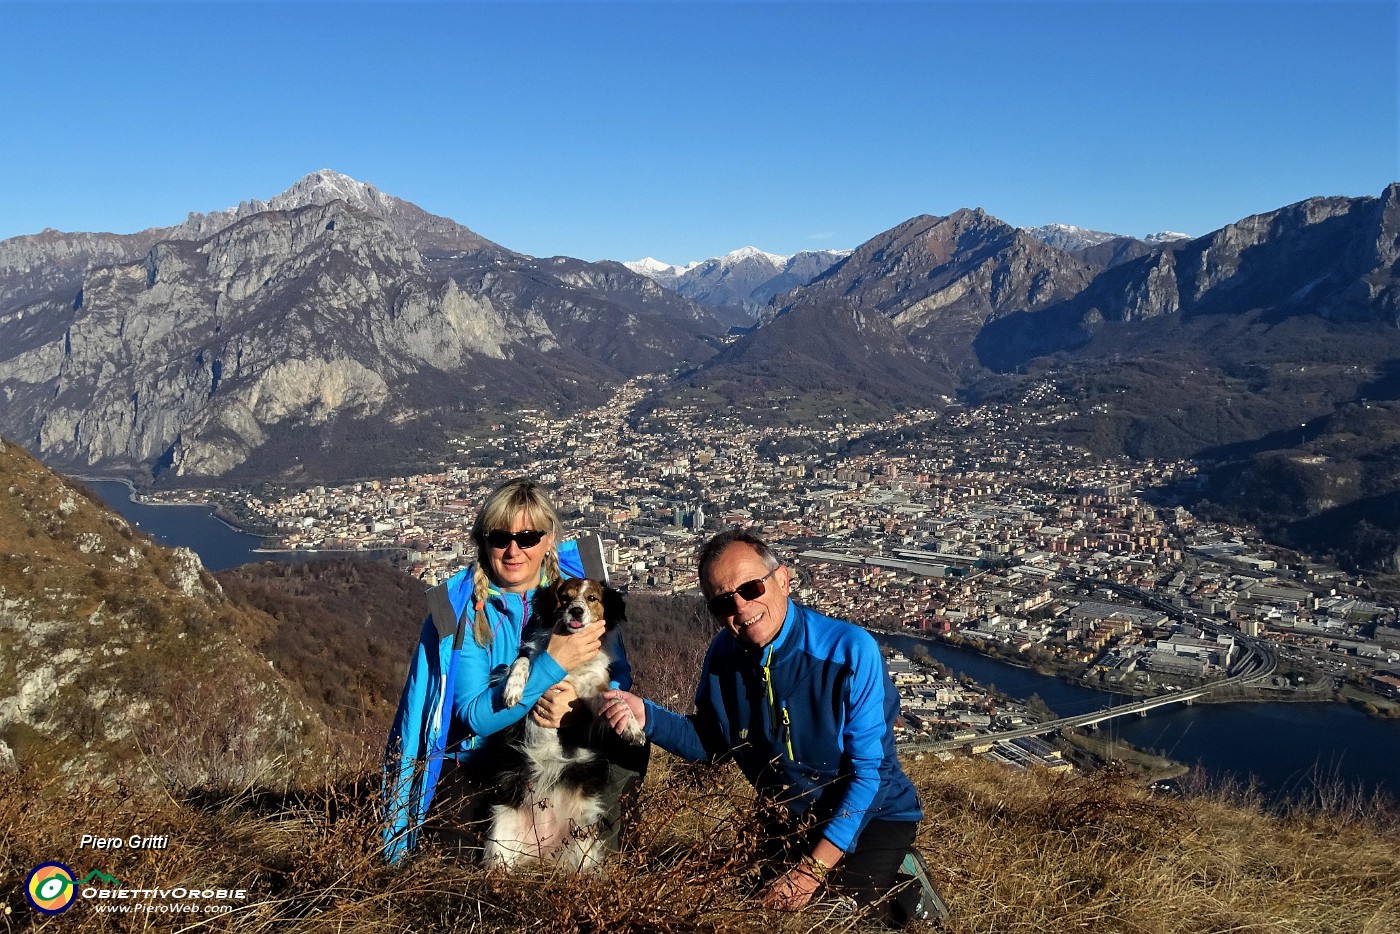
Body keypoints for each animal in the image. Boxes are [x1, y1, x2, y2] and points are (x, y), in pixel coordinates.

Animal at [484, 579, 646, 873]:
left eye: (592, 598)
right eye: (564, 597)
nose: (576, 611)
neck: (572, 665)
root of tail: (541, 851)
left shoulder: (593, 692)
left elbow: (615, 699)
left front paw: (630, 726)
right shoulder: (532, 660)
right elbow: (522, 661)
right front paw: (513, 689)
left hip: (584, 838)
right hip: (500, 840)